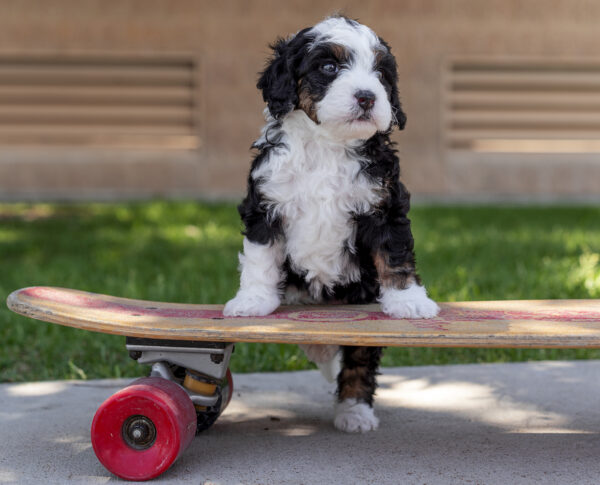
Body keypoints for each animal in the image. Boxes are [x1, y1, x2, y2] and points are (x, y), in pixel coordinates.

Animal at [223, 15, 438, 432]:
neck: (327, 145)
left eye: (381, 74)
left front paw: (409, 301)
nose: (367, 97)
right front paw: (252, 301)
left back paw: (354, 410)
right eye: (328, 67)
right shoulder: (266, 202)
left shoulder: (385, 204)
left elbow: (395, 256)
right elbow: (259, 258)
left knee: (358, 359)